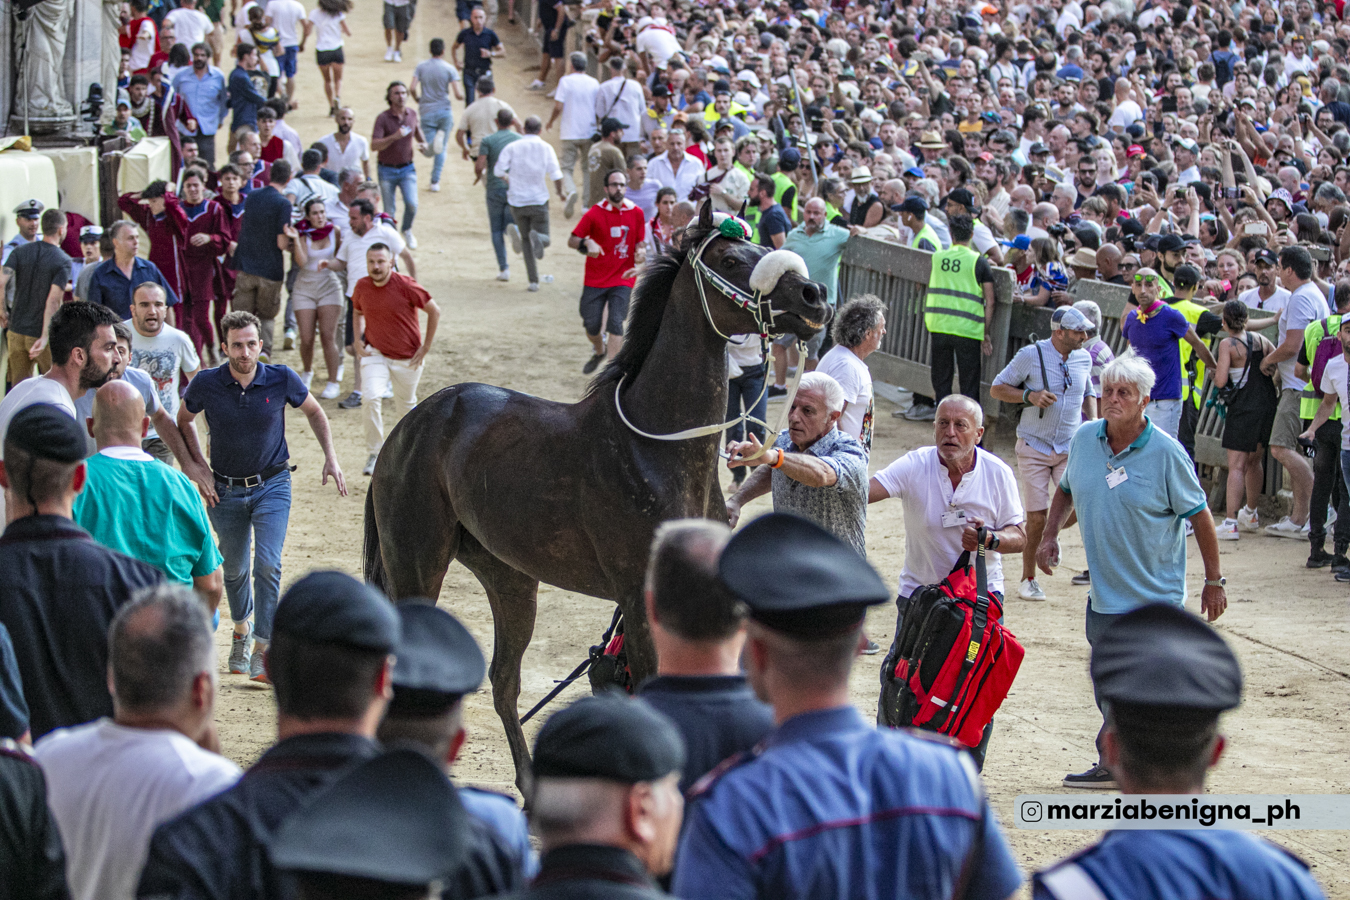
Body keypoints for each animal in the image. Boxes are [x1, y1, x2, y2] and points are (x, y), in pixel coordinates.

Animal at [363, 203, 831, 791]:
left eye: (764, 247)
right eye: (729, 259)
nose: (814, 295)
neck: (656, 447)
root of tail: (407, 429)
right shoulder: (637, 596)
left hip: (510, 577)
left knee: (504, 680)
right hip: (417, 565)